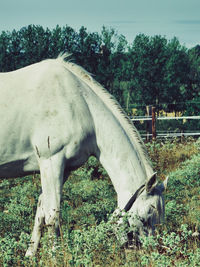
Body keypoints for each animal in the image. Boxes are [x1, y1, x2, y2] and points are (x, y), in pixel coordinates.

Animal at [0, 54, 167, 258]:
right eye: (144, 218)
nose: (148, 253)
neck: (80, 104)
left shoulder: (64, 168)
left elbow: (41, 211)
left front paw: (30, 255)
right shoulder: (51, 161)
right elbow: (52, 216)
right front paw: (55, 256)